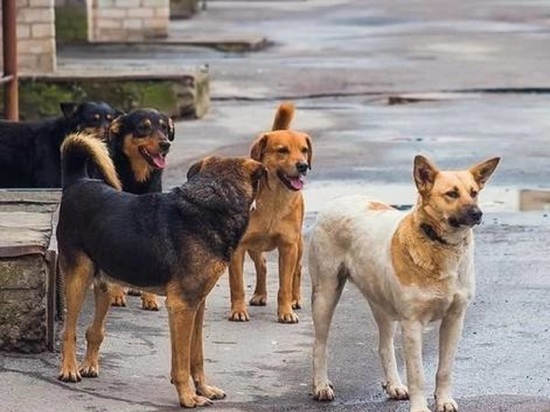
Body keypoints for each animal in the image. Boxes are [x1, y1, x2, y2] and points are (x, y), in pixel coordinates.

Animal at [106, 108, 176, 310]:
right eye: (143, 128)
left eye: (164, 128)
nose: (165, 144)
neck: (137, 178)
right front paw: (116, 294)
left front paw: (150, 298)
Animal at [229, 101, 312, 324]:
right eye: (282, 150)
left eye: (304, 150)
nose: (303, 166)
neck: (274, 199)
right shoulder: (238, 249)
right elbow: (237, 285)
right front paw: (238, 310)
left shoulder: (288, 247)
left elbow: (284, 285)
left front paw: (286, 311)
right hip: (253, 246)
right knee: (263, 265)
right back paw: (260, 294)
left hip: (298, 246)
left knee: (297, 271)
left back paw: (295, 299)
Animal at [312, 155, 502, 412]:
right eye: (451, 194)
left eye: (474, 192)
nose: (478, 213)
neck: (439, 245)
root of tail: (338, 200)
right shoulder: (412, 324)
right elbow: (417, 374)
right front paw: (420, 407)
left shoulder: (454, 320)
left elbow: (445, 369)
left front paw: (444, 400)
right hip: (326, 294)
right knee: (319, 344)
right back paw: (321, 386)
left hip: (381, 304)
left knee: (384, 346)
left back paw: (393, 385)